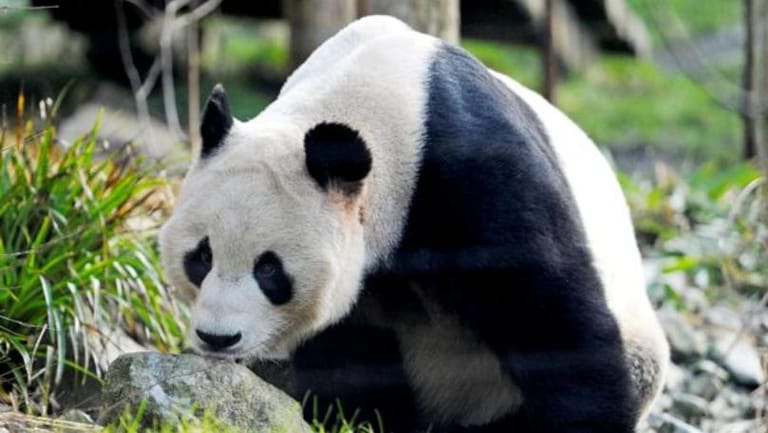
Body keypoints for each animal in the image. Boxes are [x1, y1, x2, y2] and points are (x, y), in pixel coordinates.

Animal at [159, 15, 669, 433]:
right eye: (200, 257)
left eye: (269, 269)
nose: (217, 337)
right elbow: (352, 350)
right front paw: (359, 419)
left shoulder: (475, 168)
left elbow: (550, 318)